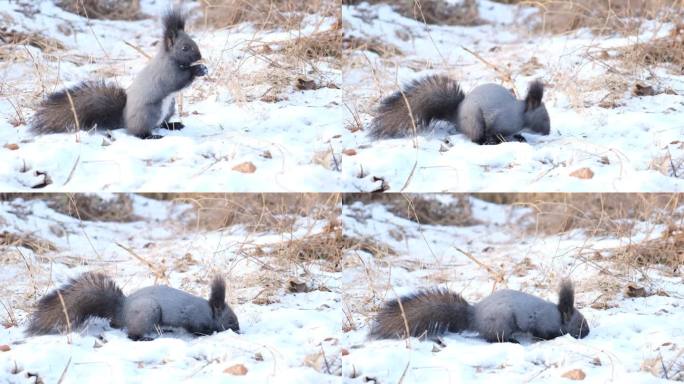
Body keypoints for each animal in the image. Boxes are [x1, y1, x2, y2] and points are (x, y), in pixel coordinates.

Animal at [25, 272, 239, 340]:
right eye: (230, 320)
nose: (238, 330)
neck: (210, 311)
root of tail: (121, 310)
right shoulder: (194, 317)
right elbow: (197, 329)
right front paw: (209, 333)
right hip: (147, 312)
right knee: (132, 334)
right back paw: (145, 338)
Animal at [30, 8, 206, 140]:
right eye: (184, 48)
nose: (199, 56)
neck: (169, 58)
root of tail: (124, 119)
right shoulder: (166, 73)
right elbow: (178, 80)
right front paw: (198, 69)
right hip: (148, 113)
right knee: (139, 132)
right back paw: (152, 136)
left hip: (169, 108)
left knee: (161, 124)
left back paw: (173, 125)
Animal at [368, 75, 552, 144]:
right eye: (544, 118)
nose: (548, 132)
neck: (518, 114)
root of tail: (456, 115)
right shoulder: (497, 120)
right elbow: (495, 132)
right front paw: (502, 139)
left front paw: (519, 136)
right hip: (475, 122)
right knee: (476, 136)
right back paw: (484, 142)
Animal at [368, 280, 588, 342]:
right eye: (580, 324)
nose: (587, 333)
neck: (557, 315)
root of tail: (473, 316)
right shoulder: (541, 323)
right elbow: (542, 333)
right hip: (501, 322)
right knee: (493, 338)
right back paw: (511, 341)